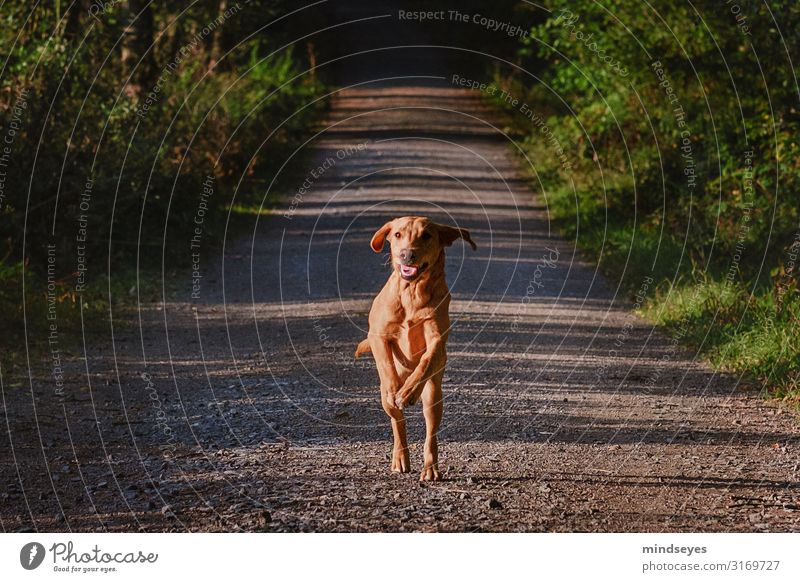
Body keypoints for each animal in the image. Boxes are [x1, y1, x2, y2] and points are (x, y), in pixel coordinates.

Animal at [354, 217, 476, 482]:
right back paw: (400, 458)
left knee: (431, 434)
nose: (406, 254)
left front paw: (408, 390)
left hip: (434, 397)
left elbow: (427, 360)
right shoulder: (377, 335)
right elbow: (387, 365)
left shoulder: (437, 338)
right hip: (385, 401)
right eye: (398, 234)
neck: (412, 292)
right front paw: (396, 388)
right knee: (397, 423)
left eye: (426, 236)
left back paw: (430, 468)